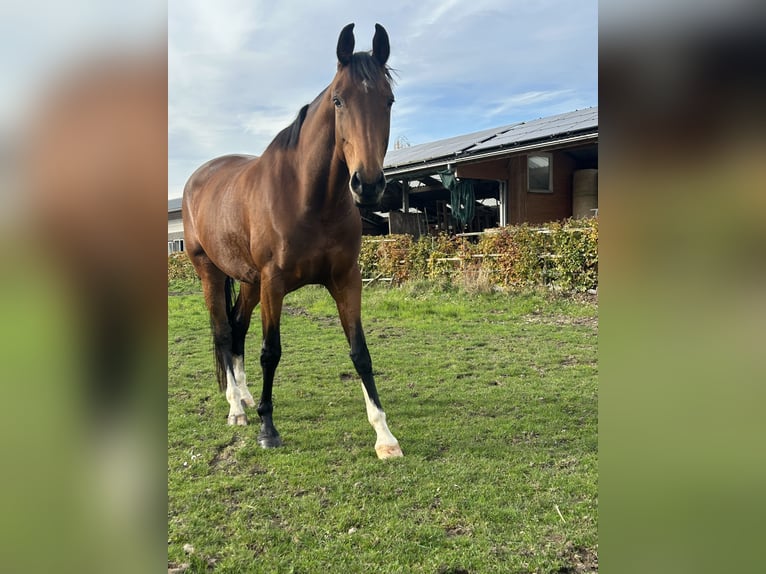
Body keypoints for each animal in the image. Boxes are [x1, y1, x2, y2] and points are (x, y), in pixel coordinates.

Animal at [182, 23, 402, 459]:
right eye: (338, 100)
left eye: (388, 100)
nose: (368, 185)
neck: (308, 198)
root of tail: (199, 177)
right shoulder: (275, 282)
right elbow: (272, 352)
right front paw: (268, 429)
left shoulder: (346, 280)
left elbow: (361, 353)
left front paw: (384, 436)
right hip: (211, 273)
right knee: (223, 331)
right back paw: (237, 409)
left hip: (248, 281)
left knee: (237, 329)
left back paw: (246, 396)